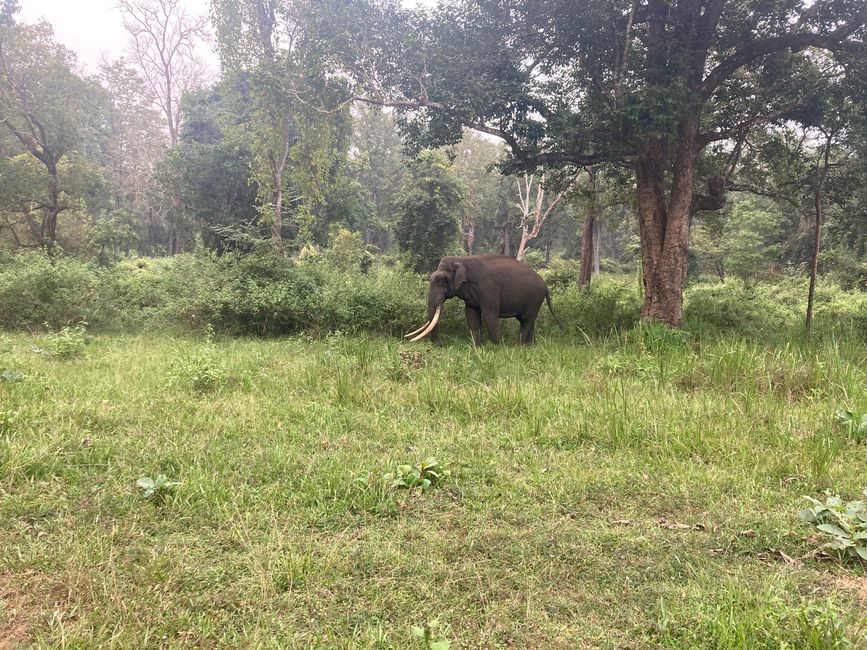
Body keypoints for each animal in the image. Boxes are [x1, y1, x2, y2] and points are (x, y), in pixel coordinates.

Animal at [405, 255, 559, 345]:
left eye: (441, 281)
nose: (440, 344)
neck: (462, 260)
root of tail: (545, 285)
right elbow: (471, 316)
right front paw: (479, 347)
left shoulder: (488, 289)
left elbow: (490, 316)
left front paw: (499, 347)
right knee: (529, 321)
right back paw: (530, 346)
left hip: (535, 298)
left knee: (526, 321)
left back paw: (519, 346)